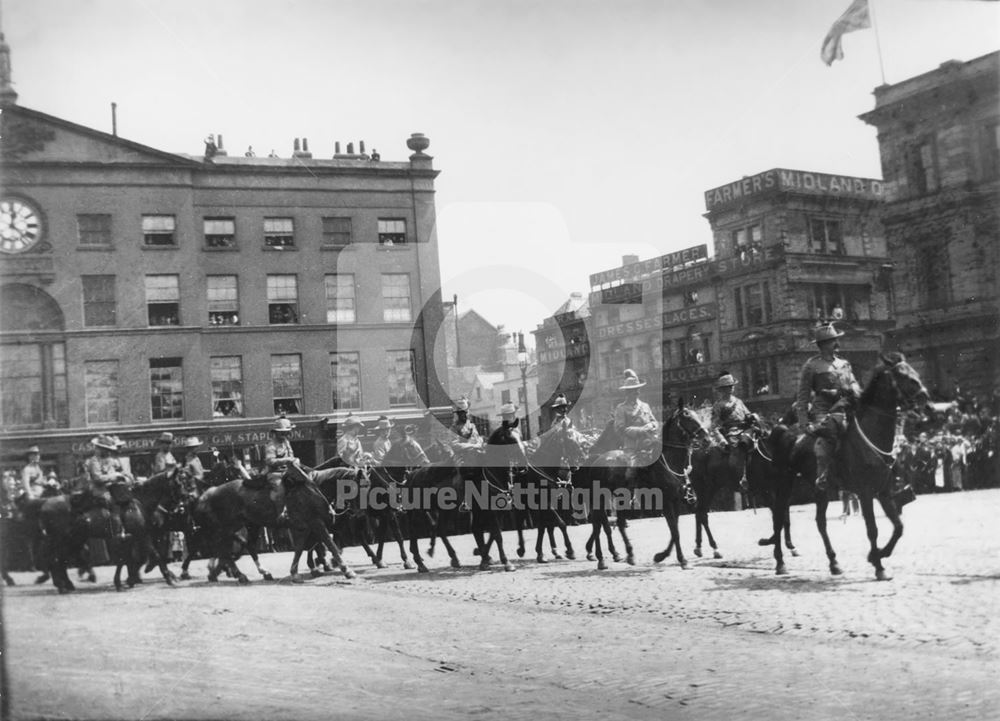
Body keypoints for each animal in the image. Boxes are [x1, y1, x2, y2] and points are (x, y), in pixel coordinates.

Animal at [772, 352, 928, 584]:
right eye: (902, 375)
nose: (925, 398)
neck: (870, 438)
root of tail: (784, 430)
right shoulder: (865, 493)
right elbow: (872, 529)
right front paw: (879, 565)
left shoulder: (883, 492)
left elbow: (898, 527)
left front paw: (878, 554)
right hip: (784, 483)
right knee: (779, 518)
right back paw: (780, 562)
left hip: (820, 489)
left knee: (820, 522)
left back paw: (834, 563)